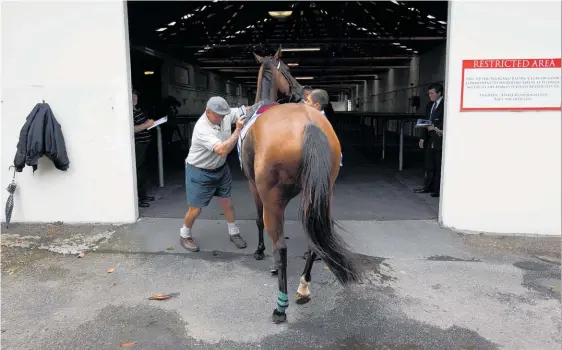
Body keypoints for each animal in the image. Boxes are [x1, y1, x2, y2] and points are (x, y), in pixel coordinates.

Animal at [237, 45, 360, 322]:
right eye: (288, 70)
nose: (298, 89)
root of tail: (309, 124)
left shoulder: (253, 186)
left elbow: (260, 222)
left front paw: (260, 252)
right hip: (323, 193)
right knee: (313, 242)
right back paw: (303, 287)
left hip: (273, 198)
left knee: (281, 247)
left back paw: (280, 307)